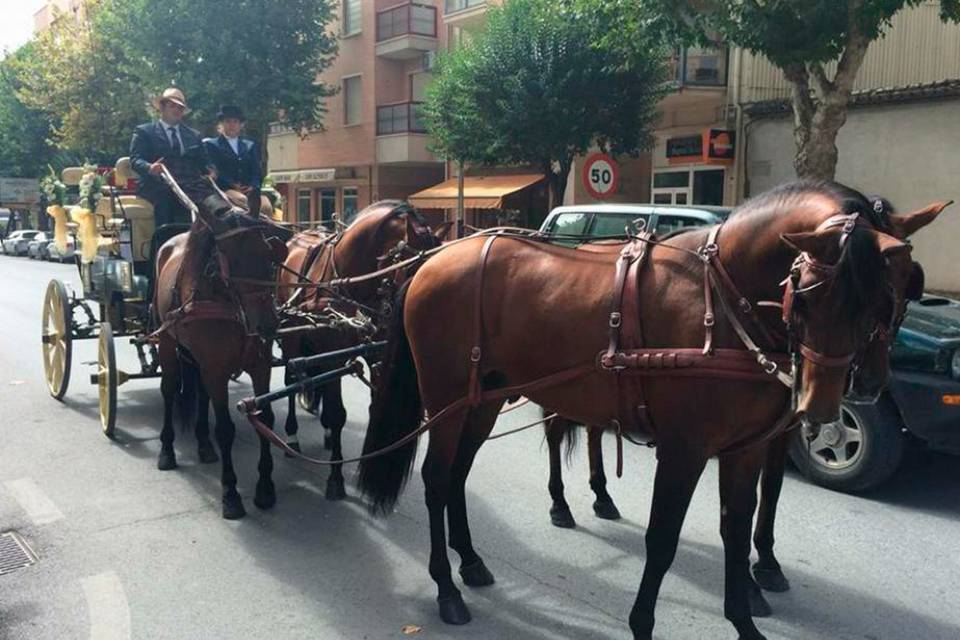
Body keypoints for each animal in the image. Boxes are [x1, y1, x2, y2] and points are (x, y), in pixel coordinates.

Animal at [154, 196, 286, 520]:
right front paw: (231, 494)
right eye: (230, 260)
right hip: (167, 341)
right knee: (168, 390)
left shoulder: (260, 366)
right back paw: (167, 450)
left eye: (269, 254)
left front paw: (265, 487)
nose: (268, 324)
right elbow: (225, 429)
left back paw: (203, 444)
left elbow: (265, 419)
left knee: (201, 393)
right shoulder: (215, 368)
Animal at [274, 204, 446, 500]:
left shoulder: (377, 357)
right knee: (292, 381)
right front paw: (335, 477)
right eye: (412, 270)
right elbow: (337, 413)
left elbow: (375, 407)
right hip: (291, 335)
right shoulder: (331, 355)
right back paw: (293, 436)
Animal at [358, 181, 928, 640]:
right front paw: (643, 622)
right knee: (437, 479)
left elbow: (736, 530)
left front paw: (745, 616)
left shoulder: (744, 451)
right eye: (804, 296)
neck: (722, 302)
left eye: (886, 297)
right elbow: (663, 538)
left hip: (485, 400)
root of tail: (432, 260)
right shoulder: (683, 450)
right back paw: (446, 587)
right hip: (446, 401)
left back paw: (471, 562)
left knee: (457, 475)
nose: (828, 402)